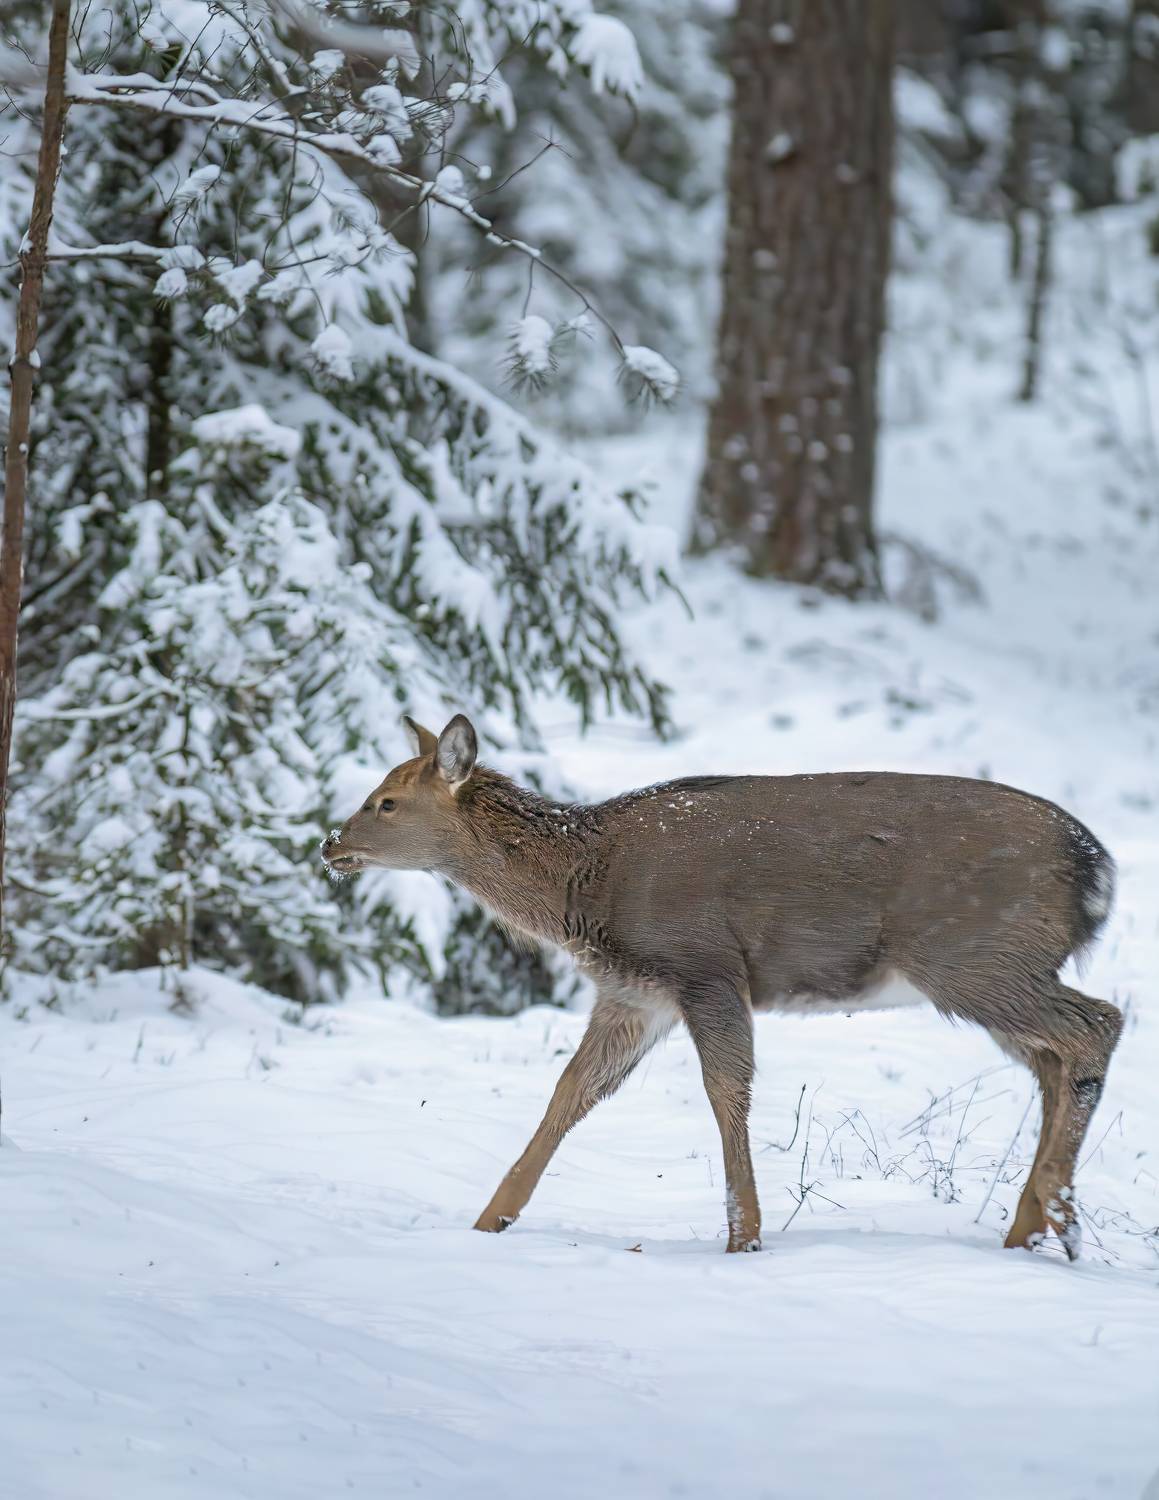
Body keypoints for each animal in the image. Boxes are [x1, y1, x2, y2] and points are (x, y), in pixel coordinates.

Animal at [320, 713, 1122, 1259]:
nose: (330, 845)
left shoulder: (701, 964)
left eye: (386, 801)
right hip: (996, 969)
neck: (583, 887)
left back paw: (1055, 1215)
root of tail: (1097, 871)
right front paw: (490, 1222)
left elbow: (724, 1088)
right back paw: (1030, 1229)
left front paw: (744, 1239)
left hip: (972, 957)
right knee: (1054, 1061)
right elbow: (571, 1092)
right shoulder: (633, 992)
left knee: (1097, 1025)